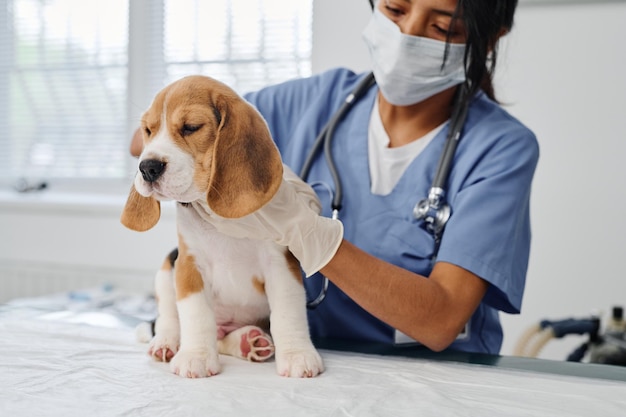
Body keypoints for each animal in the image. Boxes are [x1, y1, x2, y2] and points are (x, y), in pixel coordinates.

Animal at [123, 74, 324, 376]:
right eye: (148, 130)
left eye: (191, 127)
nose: (147, 167)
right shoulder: (189, 265)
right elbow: (196, 315)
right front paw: (195, 356)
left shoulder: (281, 265)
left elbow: (287, 312)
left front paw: (297, 355)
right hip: (167, 267)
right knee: (169, 317)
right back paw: (167, 343)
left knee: (222, 338)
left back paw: (248, 341)